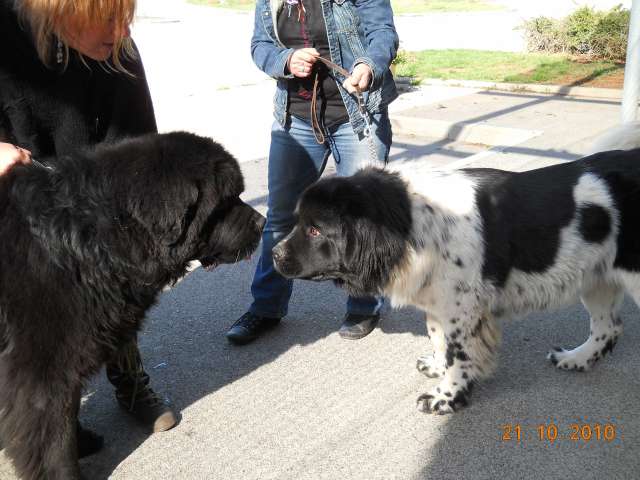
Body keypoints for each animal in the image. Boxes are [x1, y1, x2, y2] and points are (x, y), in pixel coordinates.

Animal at [272, 125, 640, 414]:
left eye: (315, 230)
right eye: (300, 222)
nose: (274, 254)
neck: (411, 222)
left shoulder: (462, 310)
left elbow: (458, 354)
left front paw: (446, 398)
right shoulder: (440, 303)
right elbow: (438, 338)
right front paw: (437, 368)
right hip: (597, 278)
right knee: (608, 328)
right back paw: (577, 358)